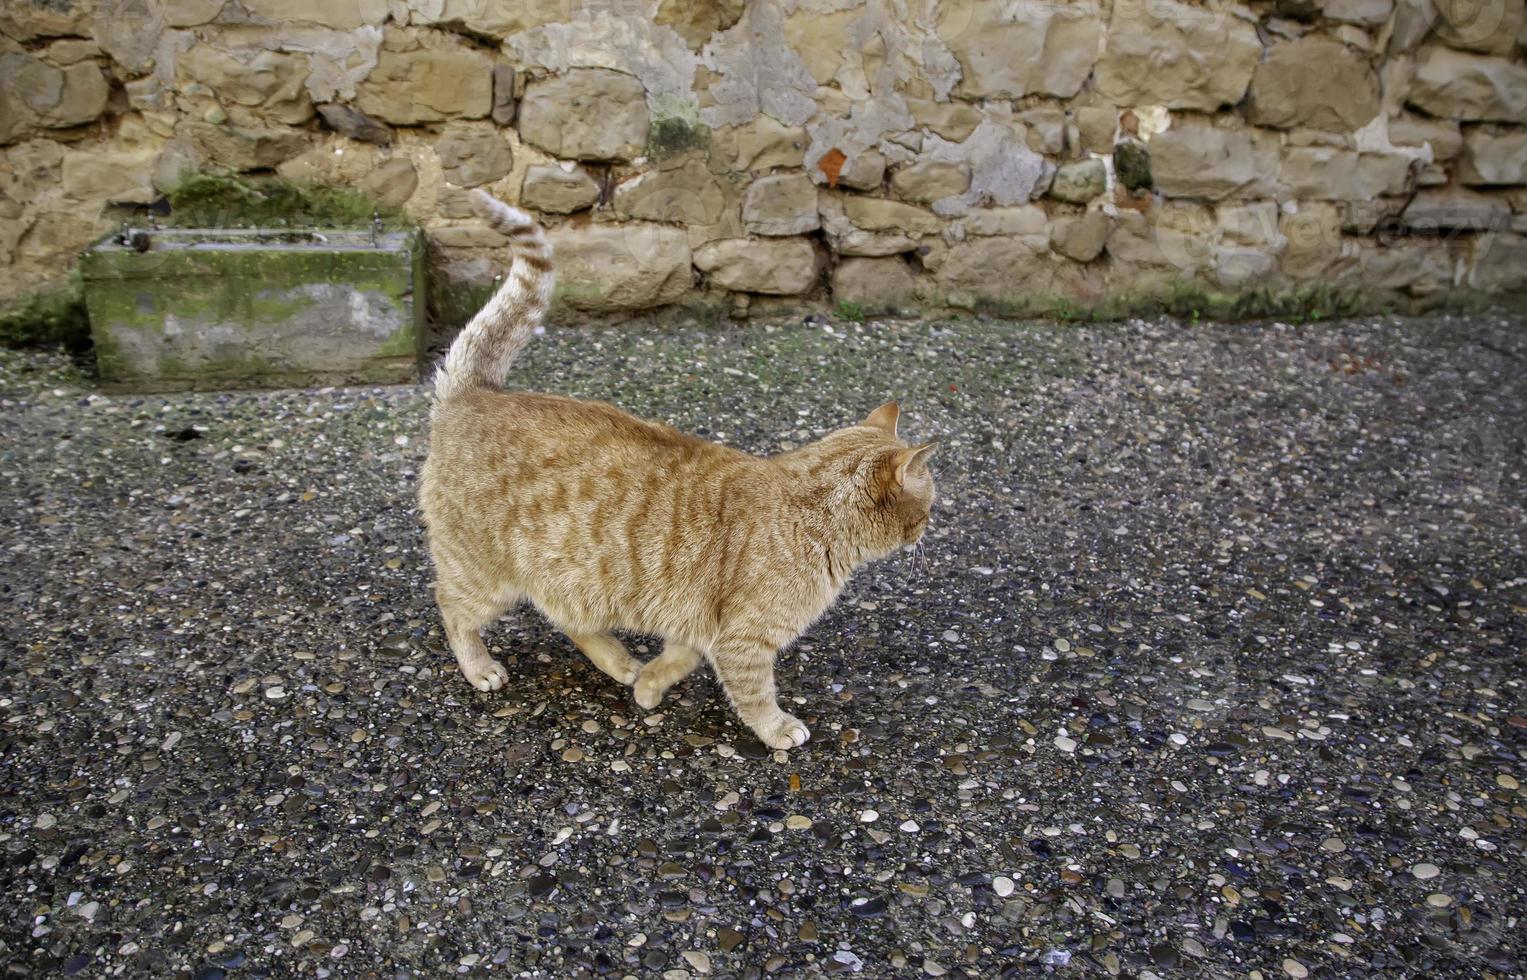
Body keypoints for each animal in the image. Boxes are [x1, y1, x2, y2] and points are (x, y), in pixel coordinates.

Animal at [424, 190, 934, 747]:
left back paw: (621, 663)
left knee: (566, 617)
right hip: (485, 577)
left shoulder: (700, 624)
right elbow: (755, 694)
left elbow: (677, 659)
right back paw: (480, 667)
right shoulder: (743, 639)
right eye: (928, 507)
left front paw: (649, 688)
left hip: (573, 581)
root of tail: (475, 393)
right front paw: (778, 728)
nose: (929, 530)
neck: (812, 514)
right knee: (451, 607)